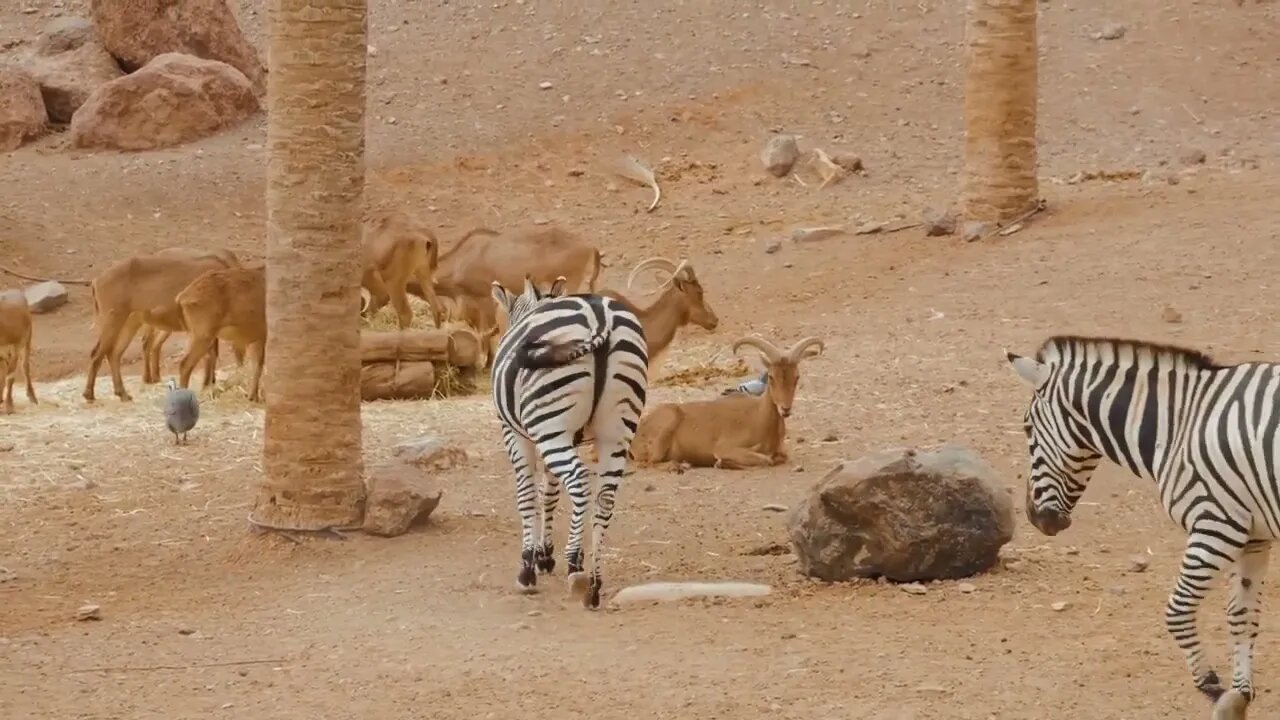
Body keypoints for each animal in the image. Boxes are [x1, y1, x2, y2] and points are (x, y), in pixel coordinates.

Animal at [85, 245, 240, 399]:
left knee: (114, 353)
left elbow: (211, 355)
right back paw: (89, 394)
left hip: (129, 324)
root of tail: (96, 281)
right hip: (113, 319)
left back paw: (123, 393)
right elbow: (210, 355)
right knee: (97, 353)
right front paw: (208, 385)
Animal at [176, 263, 266, 399]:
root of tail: (182, 297)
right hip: (203, 335)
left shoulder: (256, 336)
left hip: (195, 334)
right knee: (185, 364)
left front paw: (252, 397)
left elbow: (255, 365)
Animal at [488, 272, 650, 604]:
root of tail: (600, 317)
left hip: (552, 427)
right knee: (605, 496)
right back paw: (593, 584)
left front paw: (528, 566)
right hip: (616, 429)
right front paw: (545, 554)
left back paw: (575, 564)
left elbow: (527, 494)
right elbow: (549, 492)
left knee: (578, 482)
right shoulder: (565, 436)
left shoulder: (515, 433)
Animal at [627, 333, 824, 468]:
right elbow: (764, 459)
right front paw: (722, 463)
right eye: (772, 376)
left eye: (796, 377)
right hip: (668, 420)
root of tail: (636, 437)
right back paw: (679, 466)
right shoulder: (725, 447)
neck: (760, 417)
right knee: (648, 463)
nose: (785, 409)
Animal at [1003, 335, 1274, 717]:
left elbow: (1177, 611)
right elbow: (1241, 615)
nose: (1034, 518)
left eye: (1027, 428)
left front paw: (1211, 685)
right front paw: (1240, 694)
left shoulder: (1216, 526)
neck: (1178, 426)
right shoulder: (1253, 536)